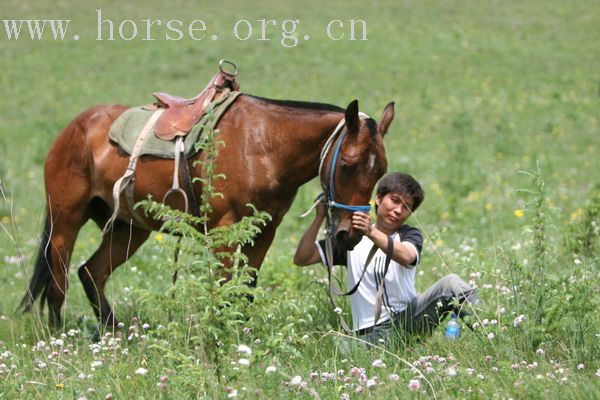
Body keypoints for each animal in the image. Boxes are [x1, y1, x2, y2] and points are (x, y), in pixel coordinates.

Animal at [17, 94, 394, 328]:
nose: (350, 233)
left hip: (129, 229)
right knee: (58, 283)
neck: (263, 144)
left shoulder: (264, 232)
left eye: (380, 170)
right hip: (65, 223)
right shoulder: (223, 232)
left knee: (90, 273)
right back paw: (59, 338)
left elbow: (246, 289)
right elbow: (226, 289)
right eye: (347, 164)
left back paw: (114, 332)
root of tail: (74, 128)